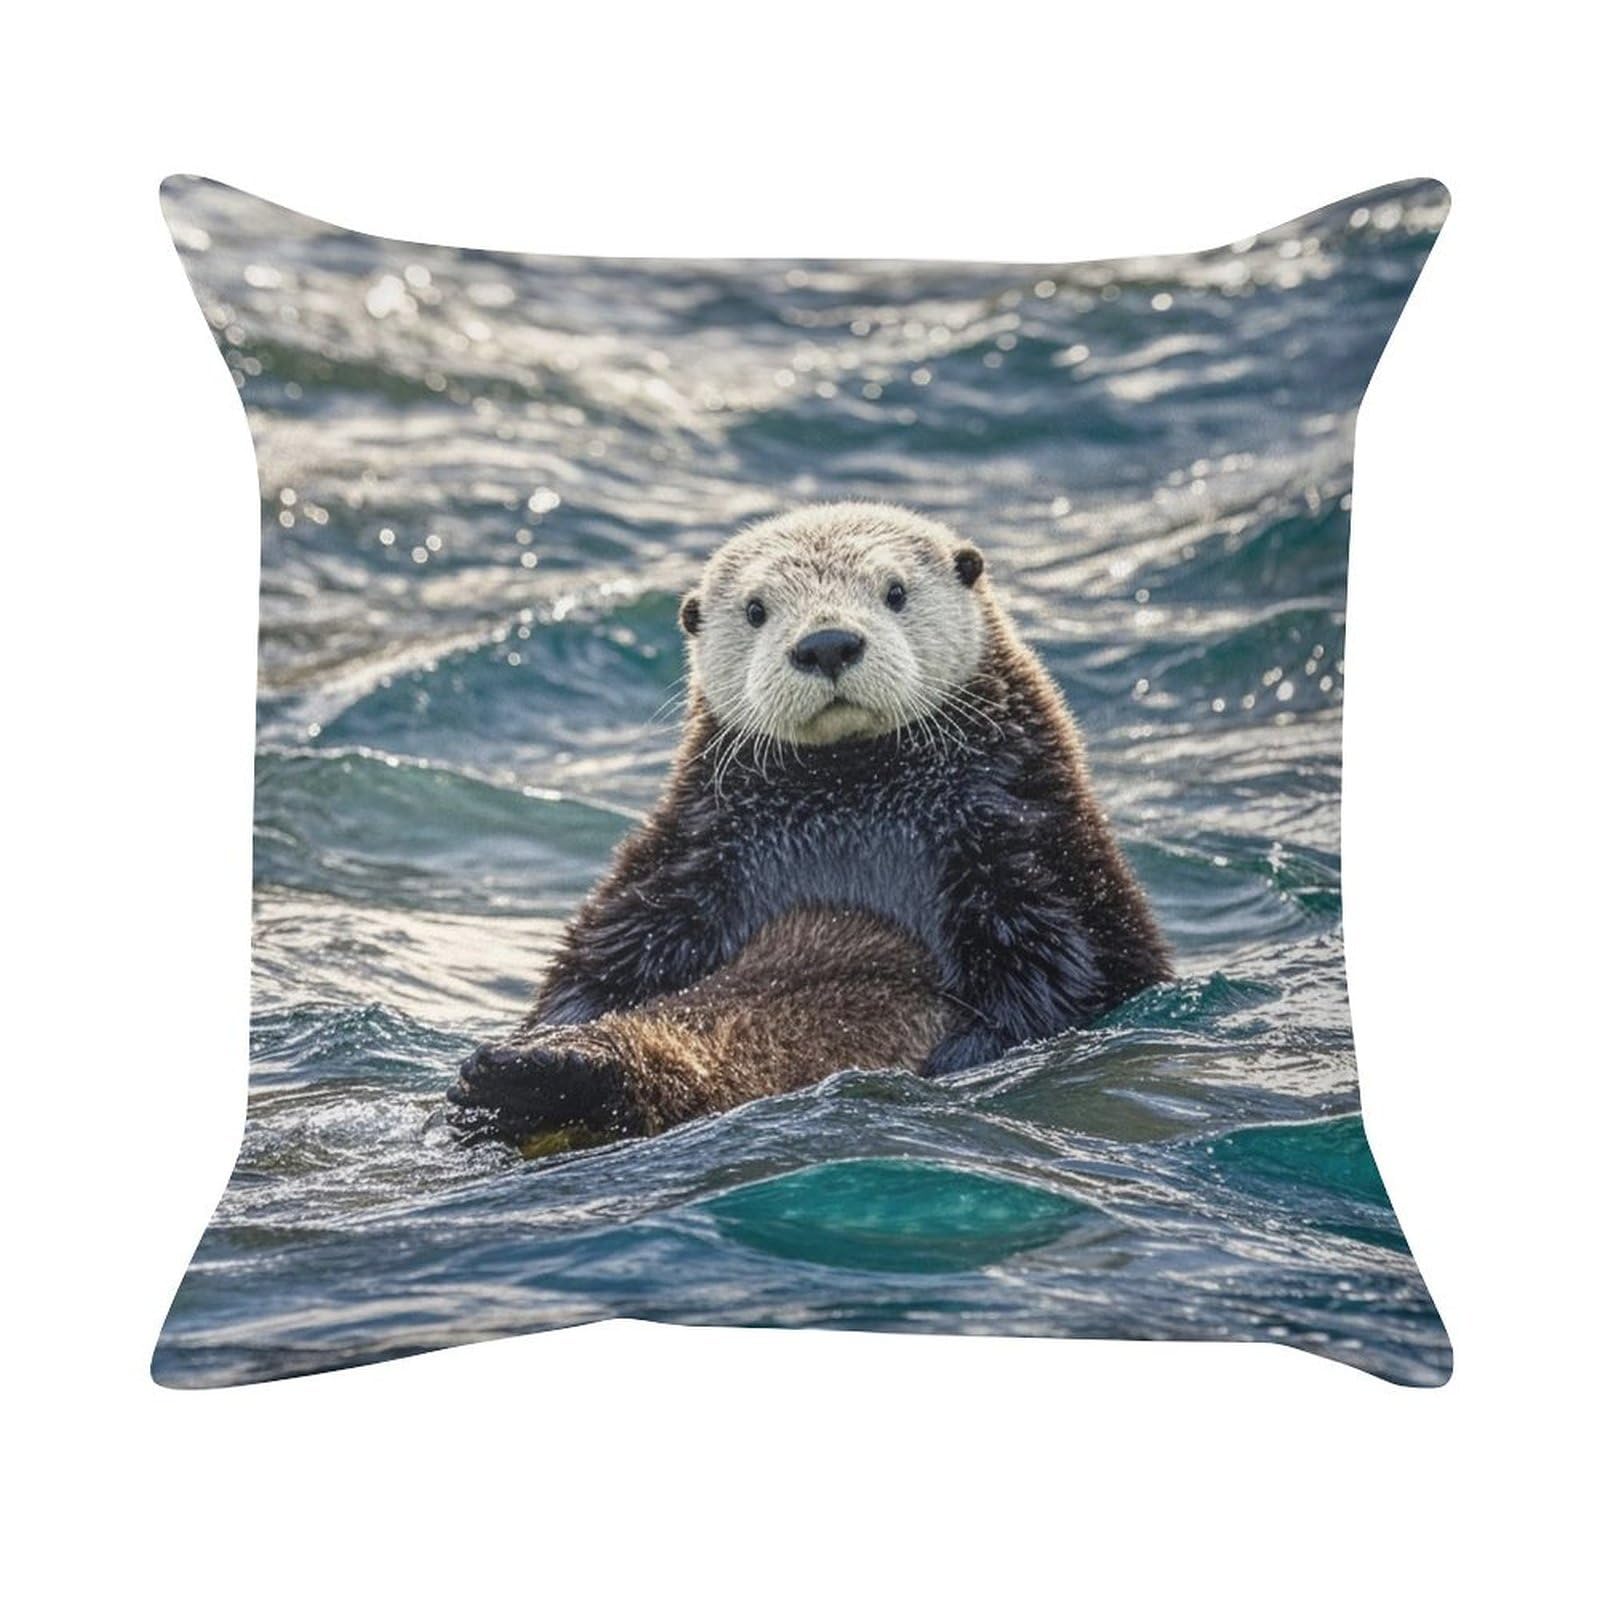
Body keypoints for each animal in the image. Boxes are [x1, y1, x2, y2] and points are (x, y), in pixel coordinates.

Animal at [448, 502, 1170, 1149]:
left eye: (895, 591)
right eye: (756, 609)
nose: (827, 644)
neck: (852, 798)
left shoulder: (1025, 845)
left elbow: (1063, 971)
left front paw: (960, 1056)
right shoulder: (685, 861)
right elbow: (596, 964)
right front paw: (528, 1042)